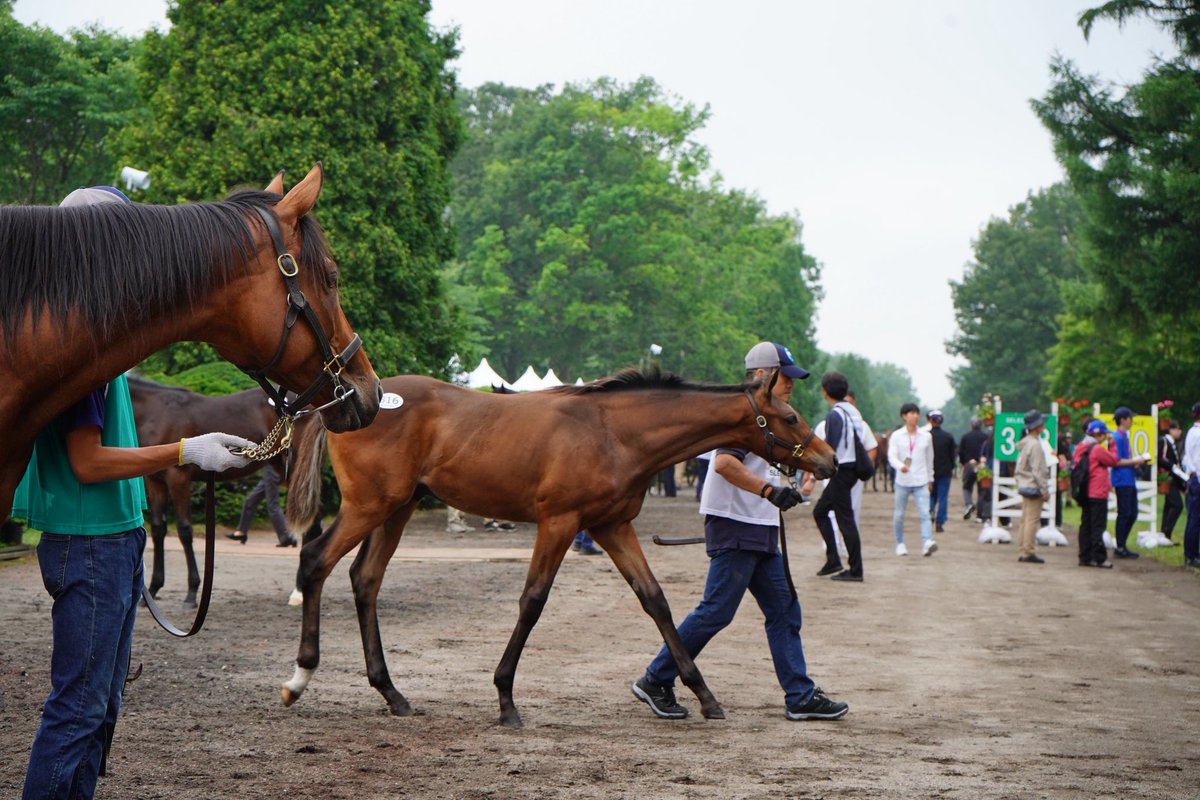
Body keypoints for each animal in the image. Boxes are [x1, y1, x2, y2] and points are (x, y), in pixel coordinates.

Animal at [128, 376, 285, 608]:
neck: (154, 411)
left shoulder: (178, 479)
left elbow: (185, 530)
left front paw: (192, 592)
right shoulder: (155, 482)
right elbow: (158, 530)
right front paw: (154, 588)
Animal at [280, 369, 837, 728]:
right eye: (790, 416)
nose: (829, 460)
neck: (613, 431)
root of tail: (342, 404)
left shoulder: (612, 526)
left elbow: (654, 599)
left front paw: (701, 695)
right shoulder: (559, 523)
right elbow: (533, 601)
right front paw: (506, 699)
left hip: (396, 508)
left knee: (365, 579)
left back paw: (392, 693)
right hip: (369, 504)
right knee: (316, 561)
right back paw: (299, 678)